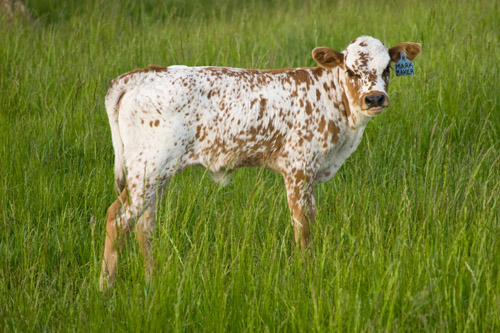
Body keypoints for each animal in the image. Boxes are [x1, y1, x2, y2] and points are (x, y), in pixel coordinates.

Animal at [97, 35, 418, 286]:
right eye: (351, 70)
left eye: (387, 68)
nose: (374, 99)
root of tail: (145, 73)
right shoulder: (298, 169)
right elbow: (303, 226)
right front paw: (306, 276)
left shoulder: (311, 176)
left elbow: (312, 219)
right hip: (147, 170)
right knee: (117, 220)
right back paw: (105, 288)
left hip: (157, 175)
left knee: (144, 225)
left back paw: (151, 280)